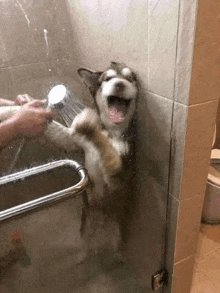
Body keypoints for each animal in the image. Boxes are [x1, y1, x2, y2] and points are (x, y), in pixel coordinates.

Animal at [0, 61, 138, 256]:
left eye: (130, 79)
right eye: (108, 79)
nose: (119, 84)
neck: (110, 131)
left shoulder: (118, 175)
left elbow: (106, 149)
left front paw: (88, 123)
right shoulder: (69, 139)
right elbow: (54, 127)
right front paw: (13, 109)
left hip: (115, 239)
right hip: (86, 233)